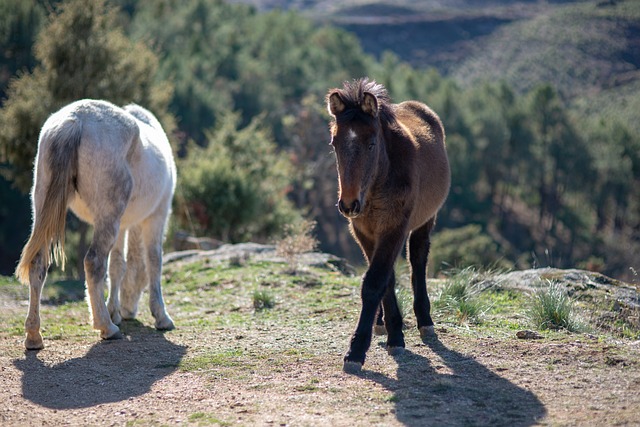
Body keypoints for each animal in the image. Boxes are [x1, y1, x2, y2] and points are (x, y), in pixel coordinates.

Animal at [16, 99, 176, 352]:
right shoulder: (156, 217)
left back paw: (34, 336)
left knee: (38, 264)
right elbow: (153, 262)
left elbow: (118, 265)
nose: (130, 311)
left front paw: (115, 310)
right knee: (93, 262)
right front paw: (161, 317)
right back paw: (107, 327)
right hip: (109, 218)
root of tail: (74, 121)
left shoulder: (123, 225)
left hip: (45, 208)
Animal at [324, 78, 450, 372]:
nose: (348, 204)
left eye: (371, 143)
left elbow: (374, 282)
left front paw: (357, 351)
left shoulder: (394, 228)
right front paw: (393, 332)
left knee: (418, 260)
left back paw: (425, 321)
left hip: (425, 222)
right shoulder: (364, 232)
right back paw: (381, 322)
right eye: (334, 143)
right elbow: (383, 279)